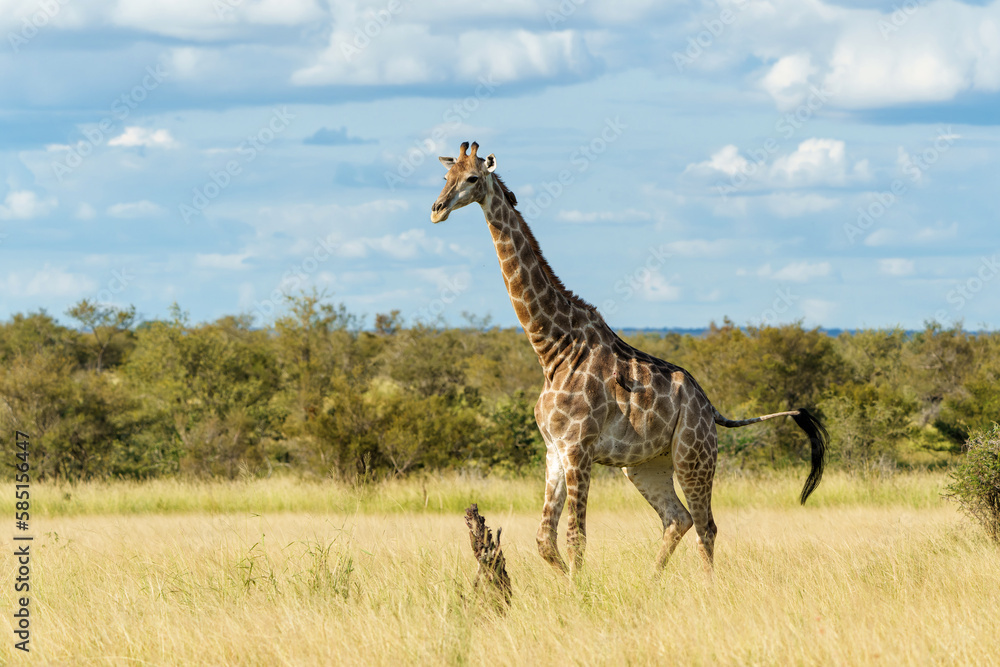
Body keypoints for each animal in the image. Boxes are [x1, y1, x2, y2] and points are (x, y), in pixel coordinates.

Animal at [431, 141, 827, 576]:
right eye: (445, 176)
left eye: (472, 178)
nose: (437, 209)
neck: (552, 349)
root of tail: (711, 408)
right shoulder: (554, 450)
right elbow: (544, 541)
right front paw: (569, 585)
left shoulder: (579, 448)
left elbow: (576, 539)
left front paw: (579, 588)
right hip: (642, 464)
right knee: (678, 518)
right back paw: (652, 582)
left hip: (694, 456)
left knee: (706, 525)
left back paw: (707, 587)